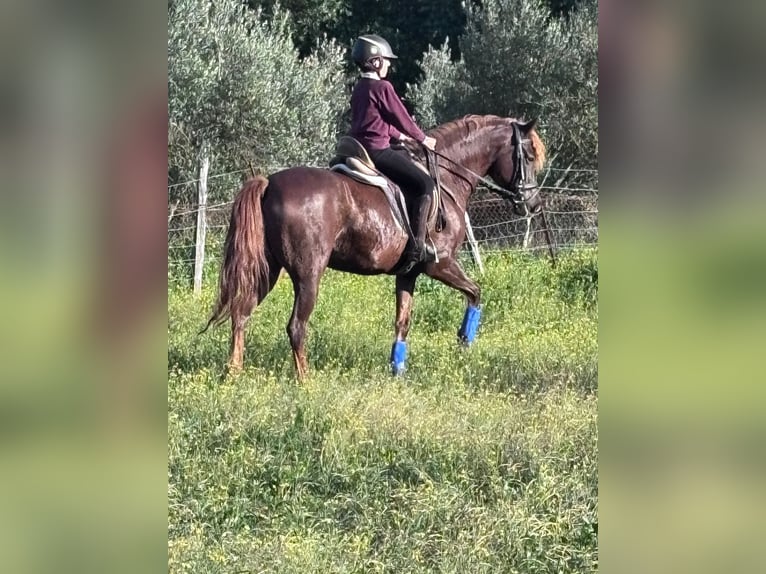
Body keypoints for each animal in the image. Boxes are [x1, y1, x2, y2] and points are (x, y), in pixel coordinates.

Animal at [206, 115, 544, 380]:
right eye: (527, 156)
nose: (533, 204)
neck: (447, 178)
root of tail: (269, 183)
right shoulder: (441, 264)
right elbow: (475, 293)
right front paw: (464, 341)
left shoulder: (408, 274)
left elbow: (402, 322)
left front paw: (397, 371)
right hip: (308, 274)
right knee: (296, 327)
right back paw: (306, 382)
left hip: (268, 269)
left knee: (241, 313)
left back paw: (233, 374)